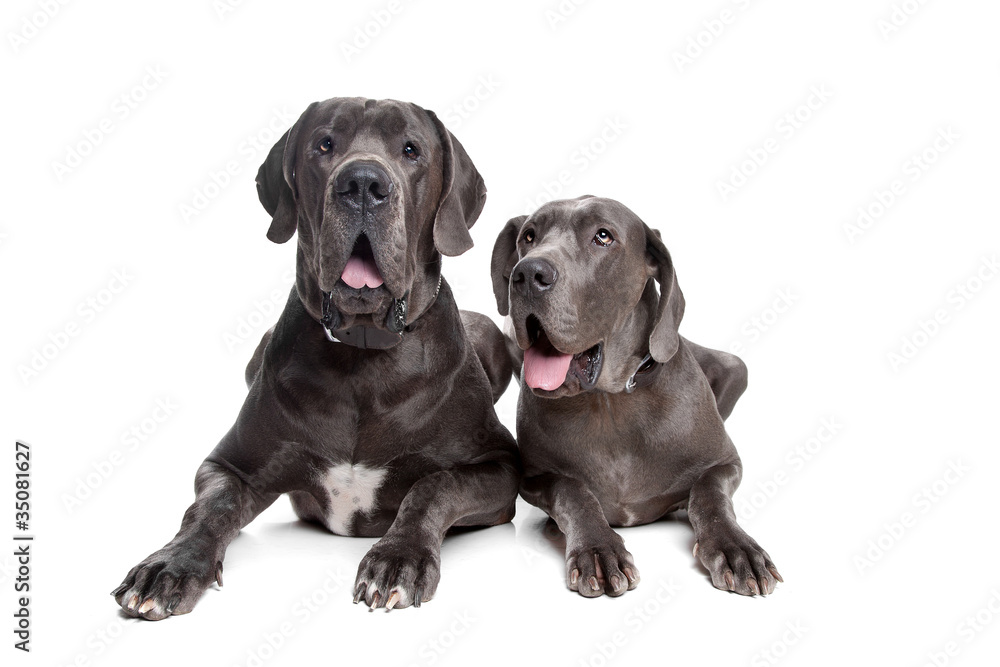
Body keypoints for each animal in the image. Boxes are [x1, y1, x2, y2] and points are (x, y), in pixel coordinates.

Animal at [113, 96, 520, 620]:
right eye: (325, 145)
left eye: (411, 150)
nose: (363, 183)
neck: (363, 356)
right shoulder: (230, 464)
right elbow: (210, 508)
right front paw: (170, 565)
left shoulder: (499, 466)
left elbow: (434, 486)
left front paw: (398, 559)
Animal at [490, 196, 780, 596]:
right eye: (529, 236)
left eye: (603, 236)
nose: (527, 274)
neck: (610, 401)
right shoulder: (534, 478)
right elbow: (572, 490)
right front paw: (598, 549)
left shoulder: (725, 462)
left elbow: (710, 494)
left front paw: (735, 547)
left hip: (736, 366)